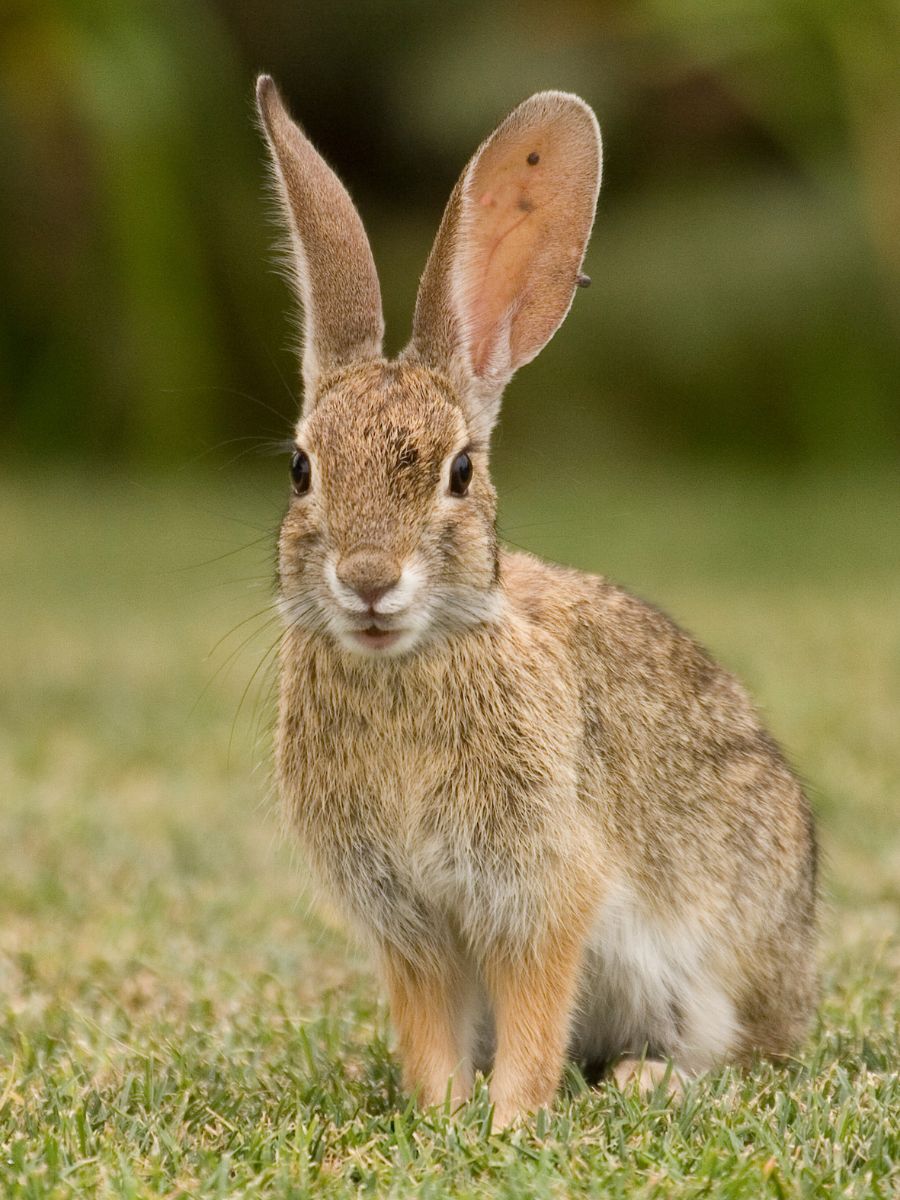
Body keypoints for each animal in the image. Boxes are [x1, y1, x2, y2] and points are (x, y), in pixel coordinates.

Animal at [256, 76, 818, 1128]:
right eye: (302, 468)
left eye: (460, 472)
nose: (368, 579)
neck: (410, 665)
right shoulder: (410, 923)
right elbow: (430, 1023)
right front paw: (441, 1115)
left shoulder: (544, 887)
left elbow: (535, 1008)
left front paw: (511, 1118)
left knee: (745, 1056)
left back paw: (647, 1078)